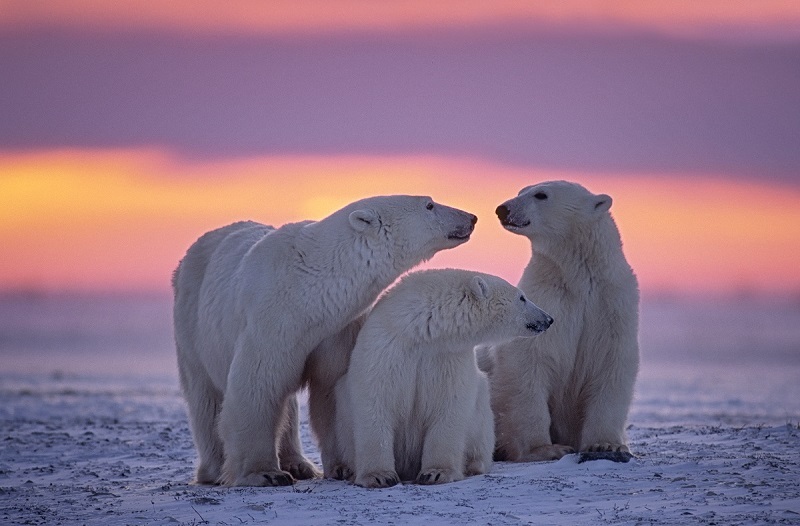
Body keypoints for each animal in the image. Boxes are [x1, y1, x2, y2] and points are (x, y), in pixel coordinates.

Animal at [172, 195, 477, 486]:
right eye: (429, 204)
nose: (471, 217)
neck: (309, 290)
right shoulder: (270, 320)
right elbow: (257, 385)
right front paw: (265, 474)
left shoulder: (336, 329)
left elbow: (332, 388)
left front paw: (343, 467)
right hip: (191, 324)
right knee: (205, 397)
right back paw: (214, 469)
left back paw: (299, 464)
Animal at [332, 268, 554, 488]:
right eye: (522, 297)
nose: (548, 319)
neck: (422, 331)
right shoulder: (386, 348)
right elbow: (375, 402)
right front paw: (379, 476)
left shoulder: (448, 357)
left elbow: (449, 406)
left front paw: (436, 473)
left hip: (481, 414)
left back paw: (473, 464)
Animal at [484, 180, 639, 462]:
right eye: (522, 190)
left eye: (541, 194)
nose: (503, 209)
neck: (578, 278)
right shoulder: (547, 300)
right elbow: (528, 361)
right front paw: (545, 448)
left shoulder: (612, 305)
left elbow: (611, 363)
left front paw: (606, 445)